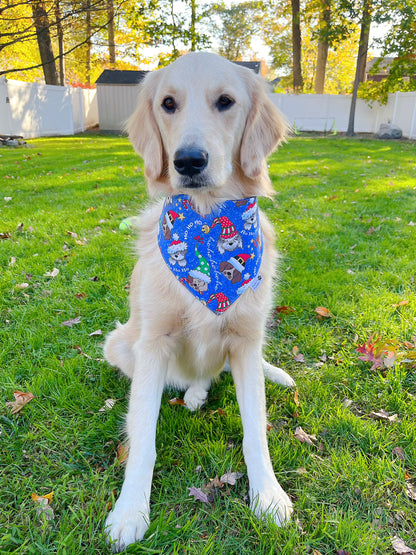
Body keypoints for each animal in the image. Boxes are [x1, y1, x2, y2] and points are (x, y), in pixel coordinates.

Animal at [104, 51, 296, 552]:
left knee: (215, 373)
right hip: (120, 342)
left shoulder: (246, 342)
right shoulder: (152, 343)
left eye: (225, 101)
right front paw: (130, 511)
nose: (188, 161)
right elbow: (143, 436)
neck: (207, 228)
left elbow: (256, 432)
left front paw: (268, 495)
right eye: (168, 104)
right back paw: (190, 393)